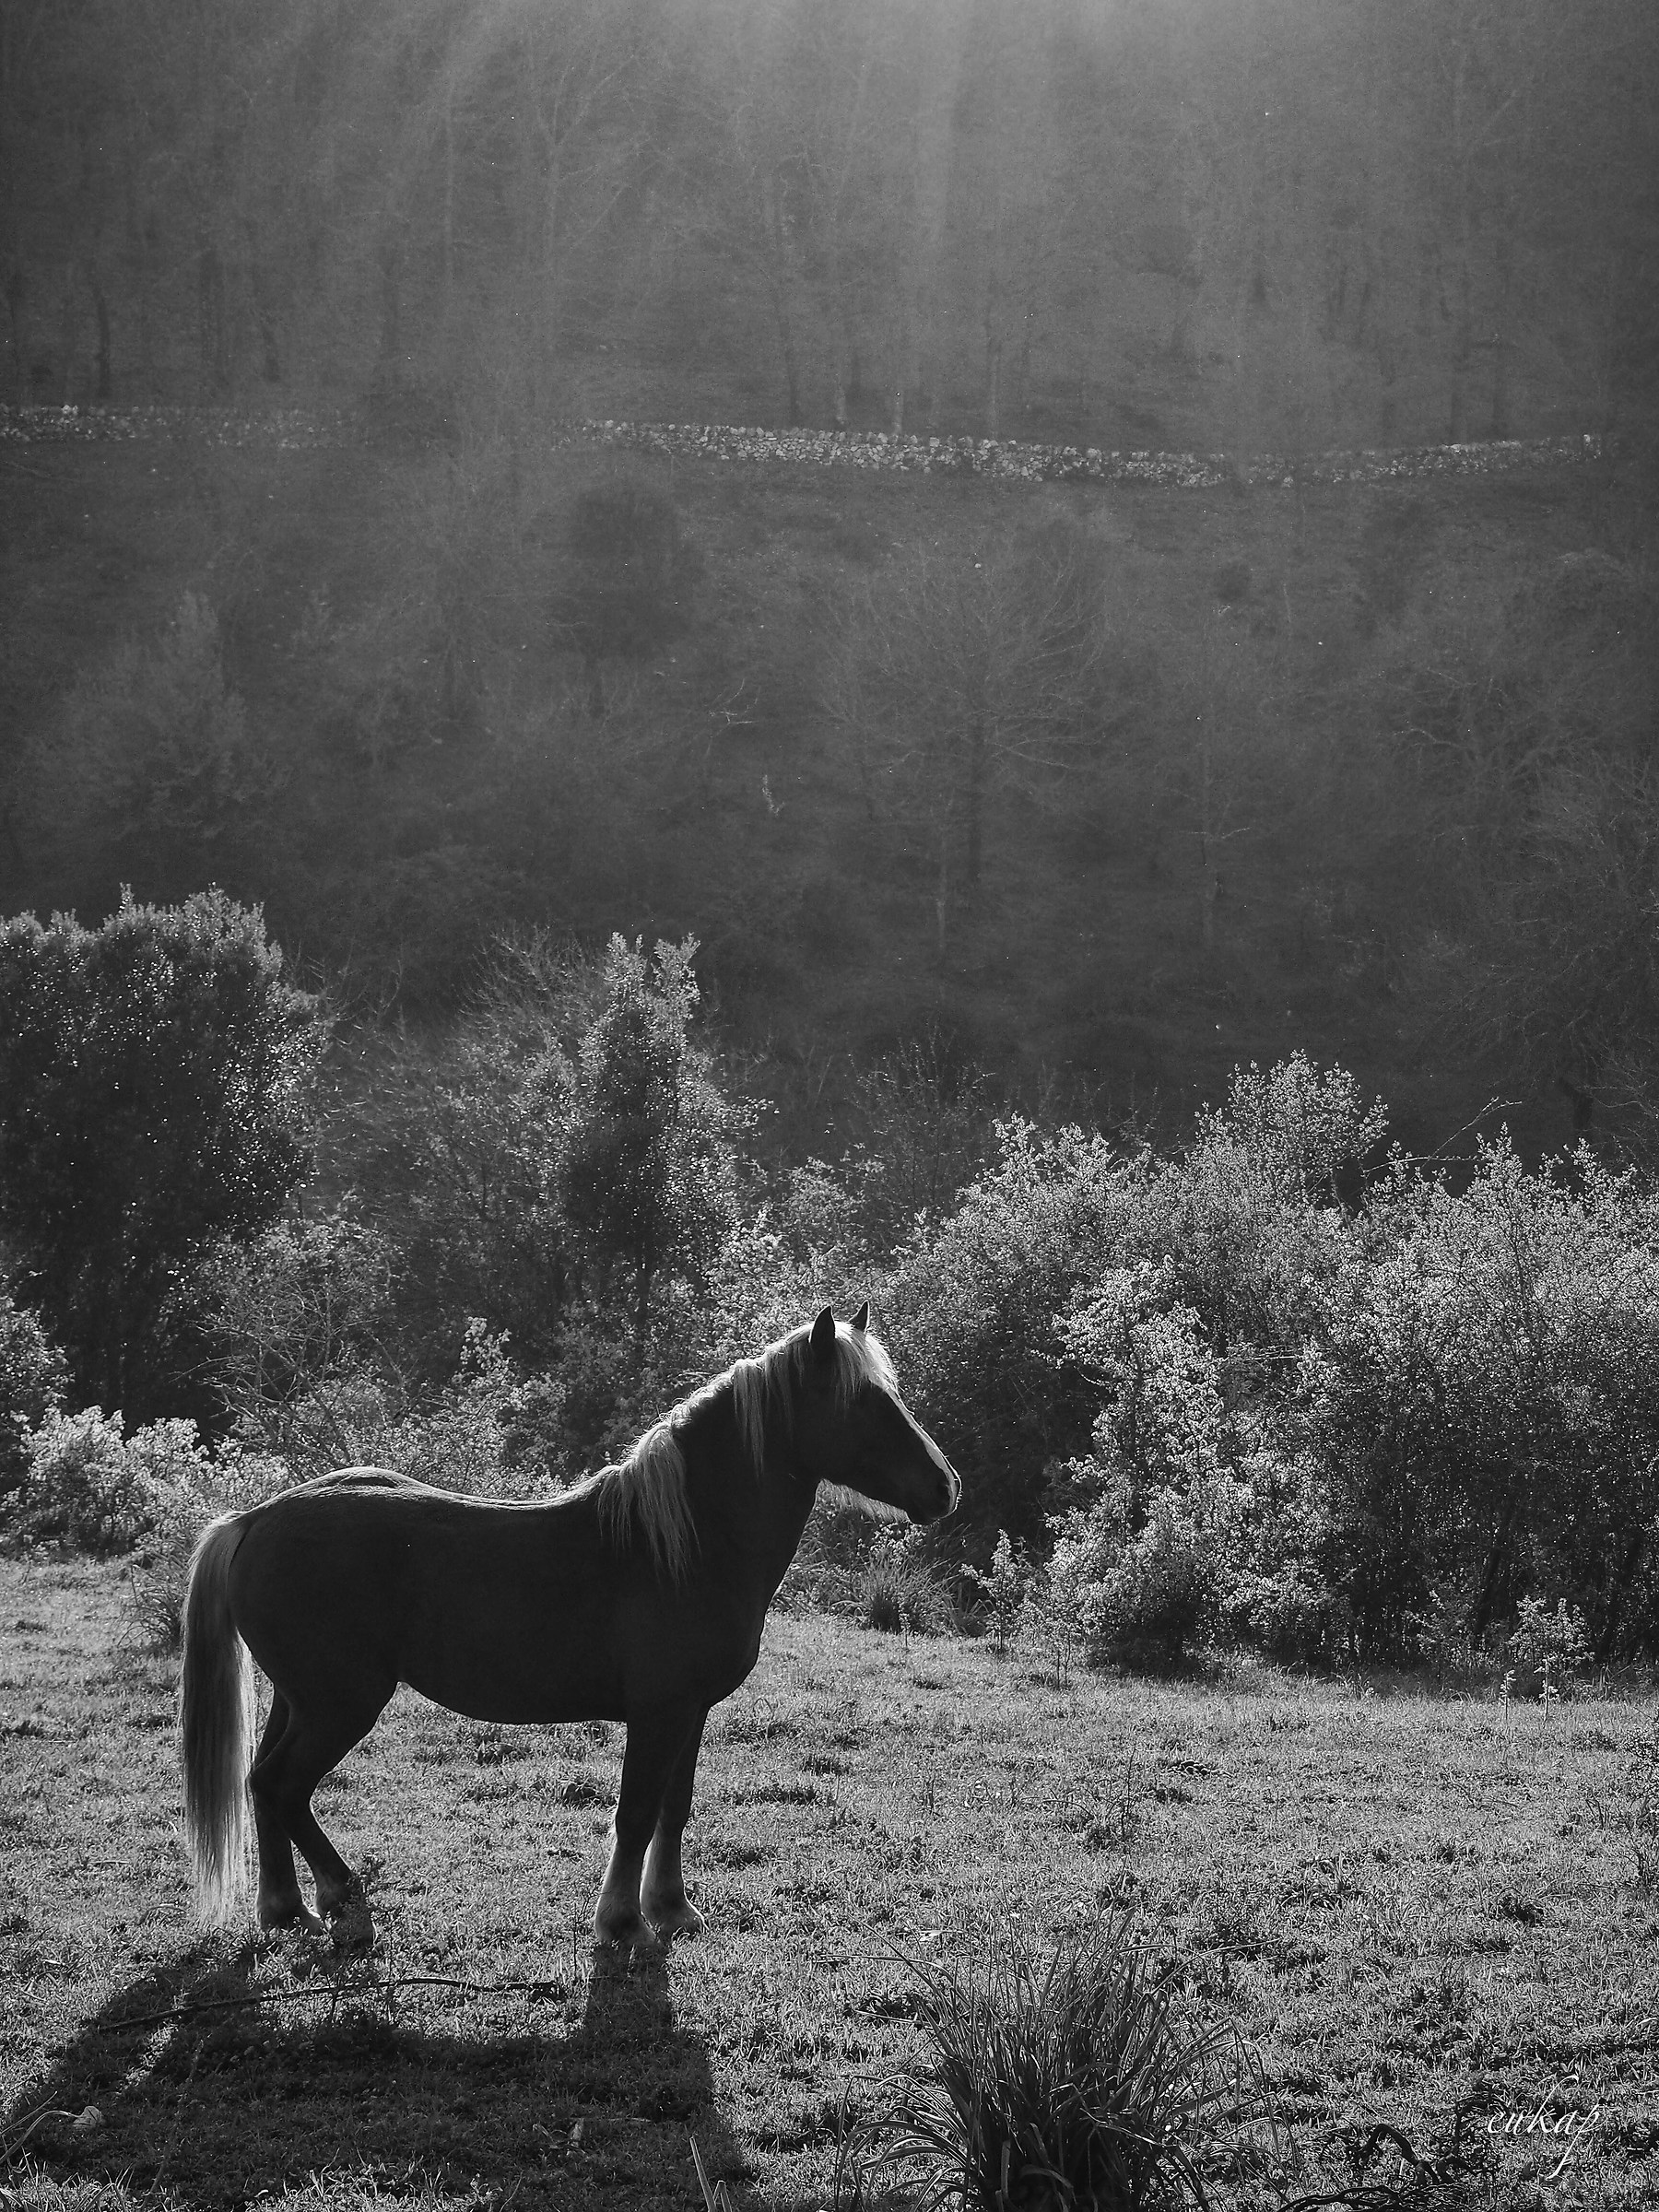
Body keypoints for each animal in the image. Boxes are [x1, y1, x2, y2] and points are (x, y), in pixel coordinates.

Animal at [178, 1304, 958, 1948]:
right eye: (864, 1401)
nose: (946, 1487)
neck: (678, 1544)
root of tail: (256, 1519)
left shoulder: (691, 1712)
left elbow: (674, 1810)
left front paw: (672, 1909)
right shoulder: (658, 1712)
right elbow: (636, 1812)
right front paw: (623, 1922)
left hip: (300, 1700)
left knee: (261, 1783)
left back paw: (287, 1911)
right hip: (340, 1705)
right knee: (284, 1787)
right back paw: (345, 1902)